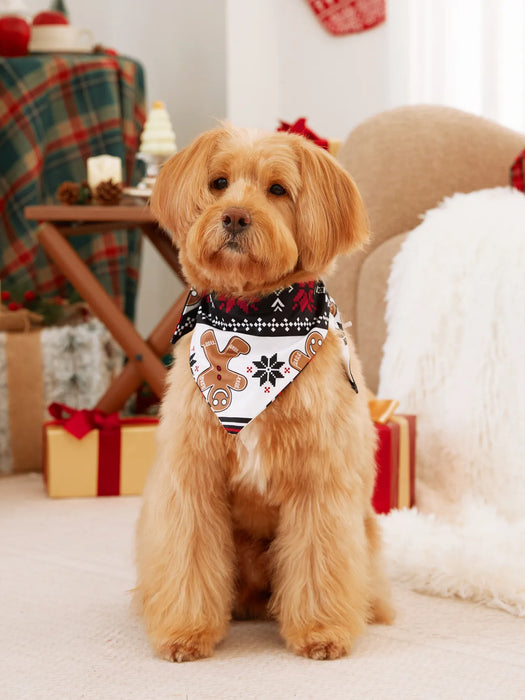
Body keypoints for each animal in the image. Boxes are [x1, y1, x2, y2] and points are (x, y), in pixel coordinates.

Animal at [135, 124, 392, 660]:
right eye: (218, 182)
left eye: (277, 190)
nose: (234, 216)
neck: (255, 318)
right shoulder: (194, 479)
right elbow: (188, 557)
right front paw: (185, 633)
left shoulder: (320, 482)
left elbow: (320, 561)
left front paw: (321, 632)